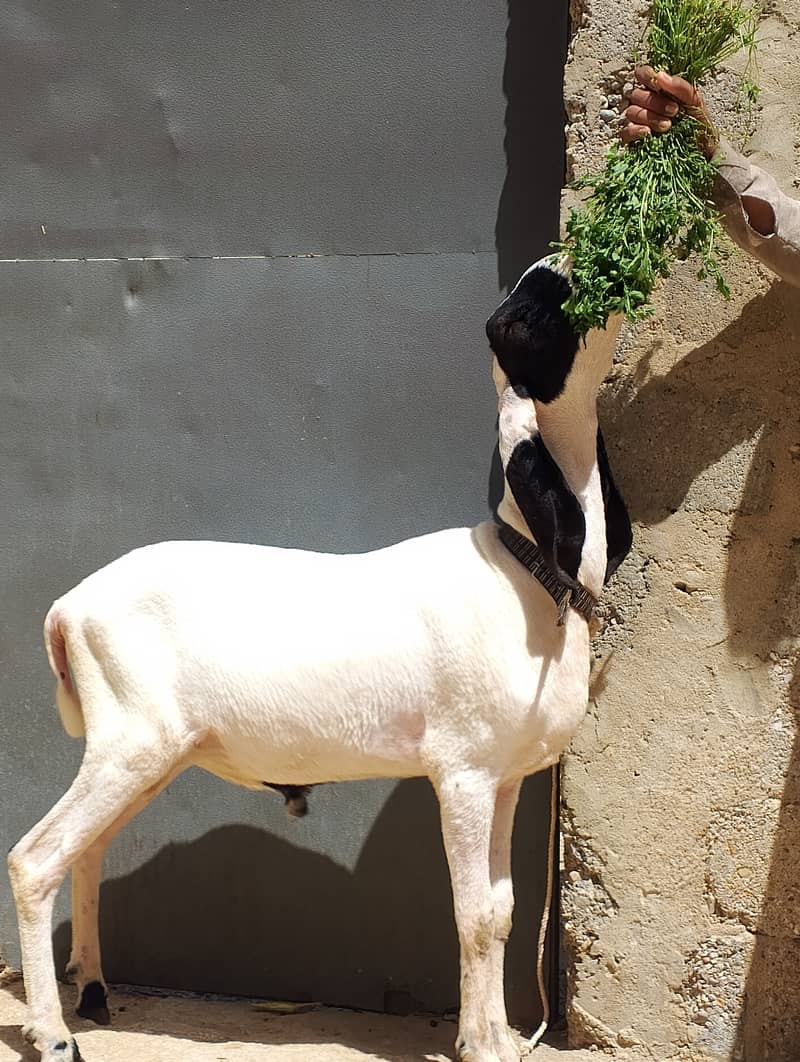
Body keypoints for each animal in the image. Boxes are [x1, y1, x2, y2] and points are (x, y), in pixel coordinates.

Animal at [8, 257, 632, 1062]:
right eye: (531, 310)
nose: (582, 262)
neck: (526, 569)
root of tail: (68, 607)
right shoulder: (461, 771)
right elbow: (470, 917)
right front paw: (478, 1043)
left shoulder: (506, 776)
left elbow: (499, 912)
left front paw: (491, 1038)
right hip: (130, 740)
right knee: (34, 860)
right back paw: (52, 1032)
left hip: (152, 754)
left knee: (85, 851)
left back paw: (91, 990)